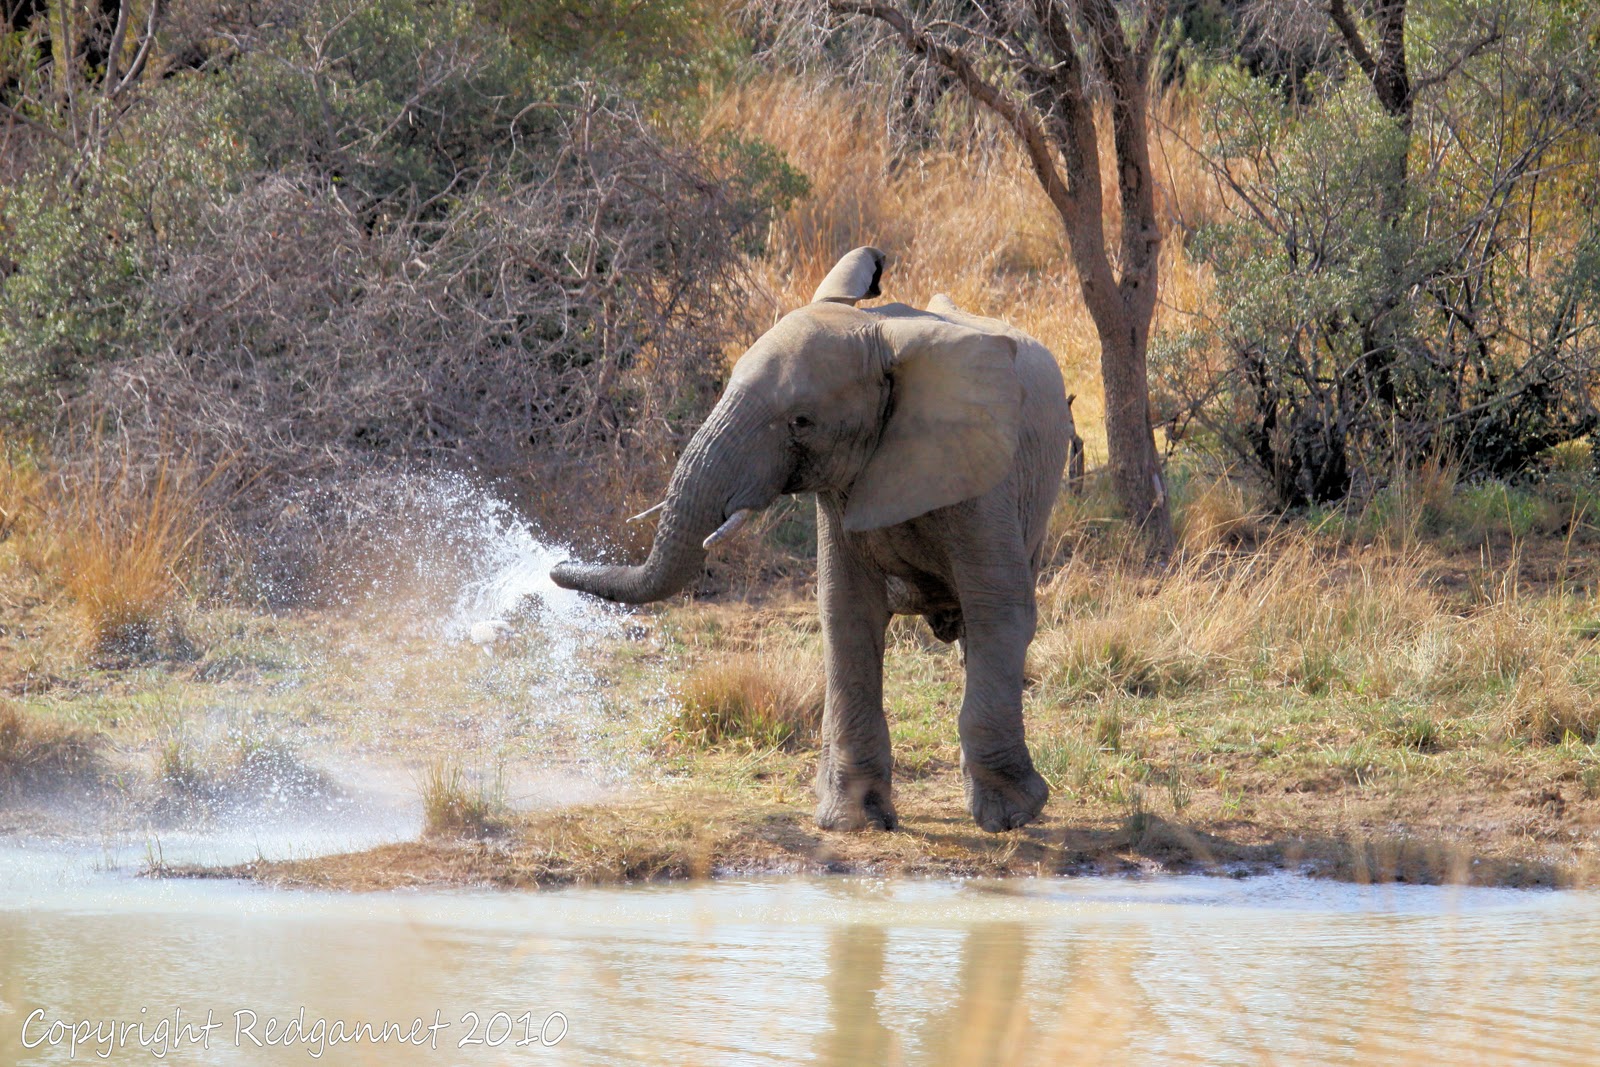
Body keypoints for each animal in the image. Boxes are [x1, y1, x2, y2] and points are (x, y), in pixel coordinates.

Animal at [551, 247, 1072, 833]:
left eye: (800, 422)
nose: (552, 565)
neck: (883, 336)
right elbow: (846, 614)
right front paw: (852, 821)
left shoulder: (985, 478)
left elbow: (999, 613)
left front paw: (1010, 817)